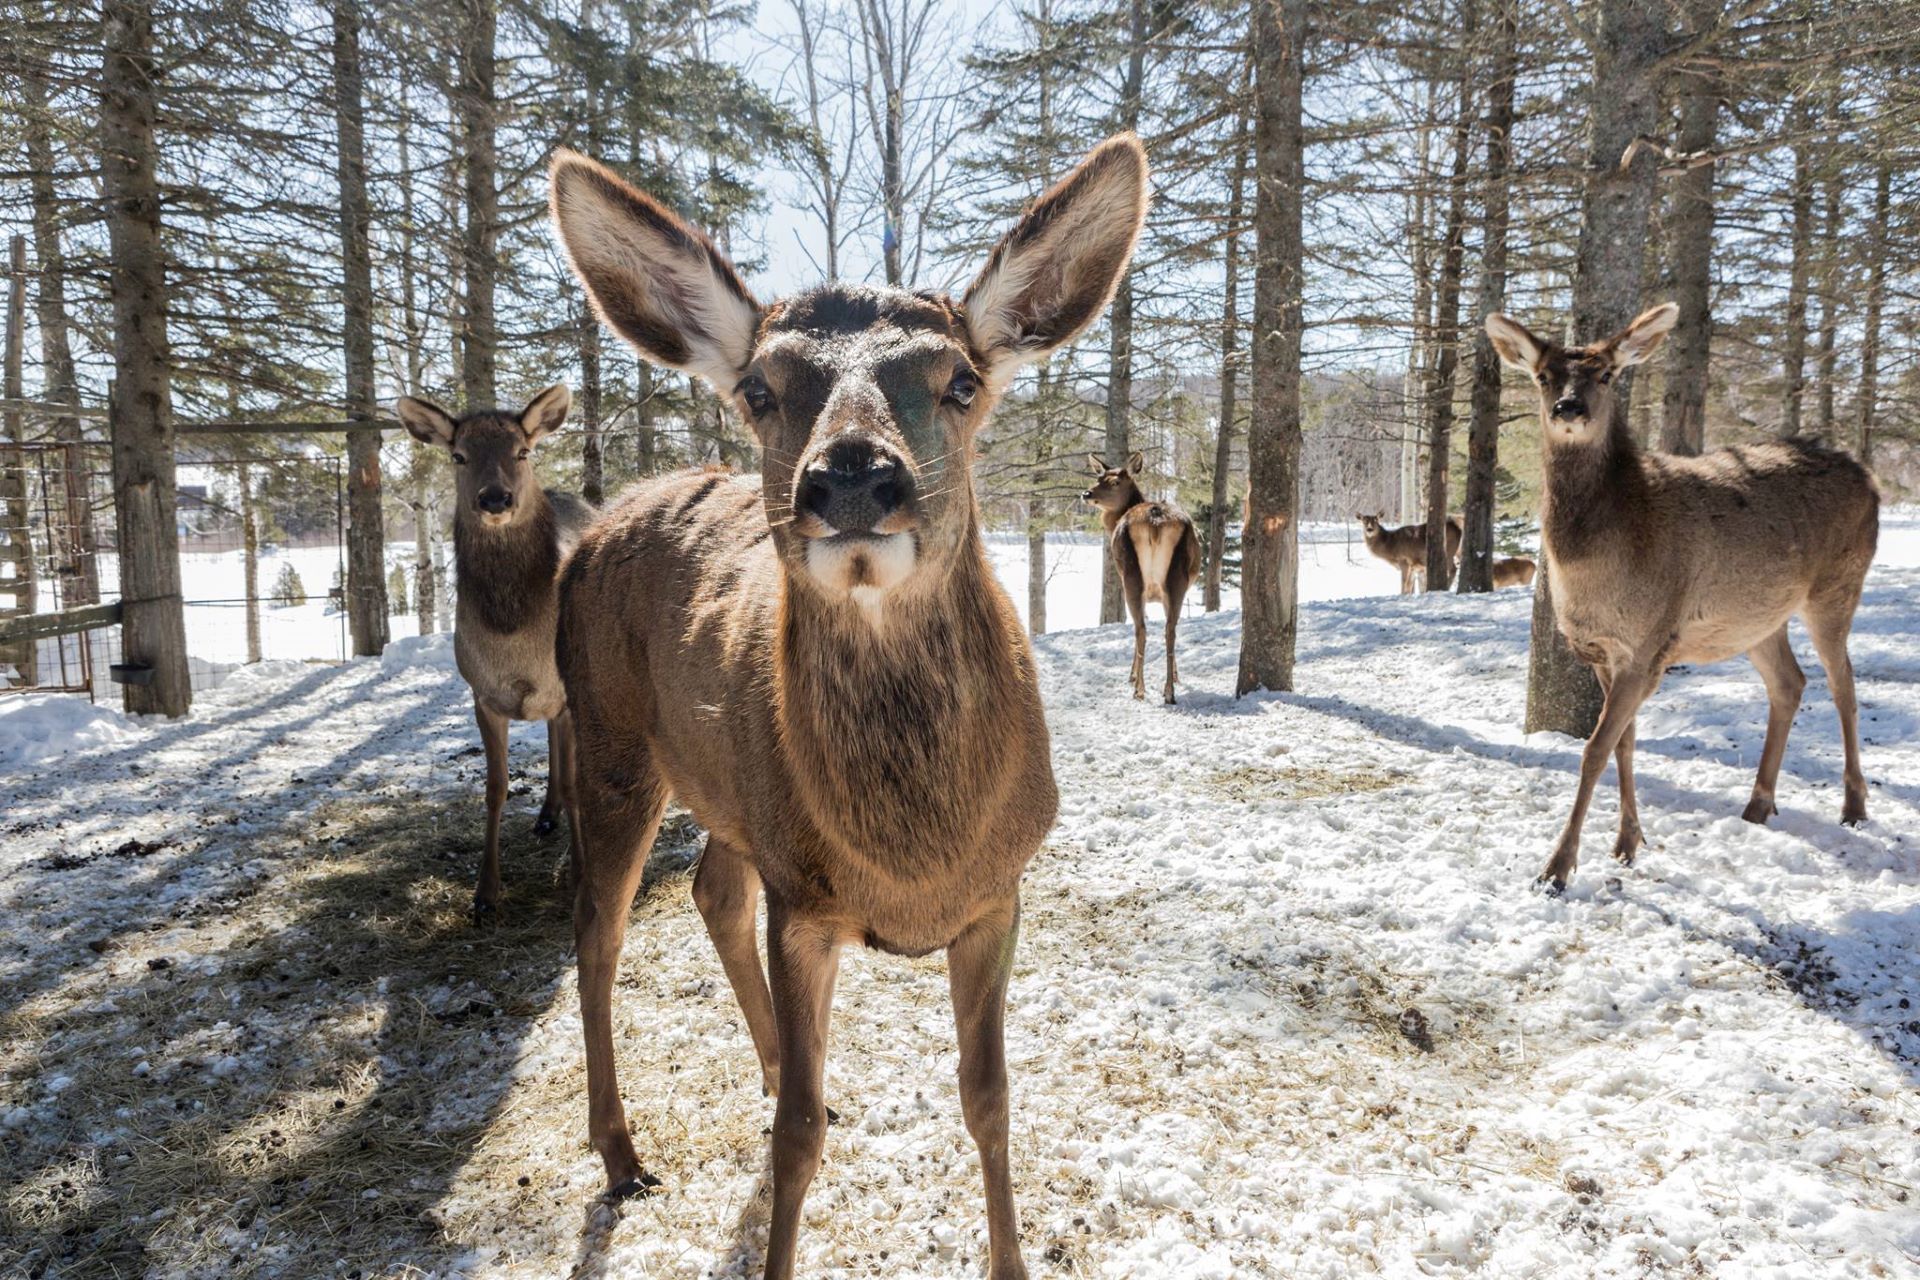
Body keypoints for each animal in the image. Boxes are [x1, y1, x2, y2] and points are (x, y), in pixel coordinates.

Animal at [391, 385, 591, 917]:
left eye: (522, 451)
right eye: (458, 456)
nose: (495, 497)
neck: (514, 638)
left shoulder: (566, 692)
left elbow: (574, 782)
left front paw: (580, 879)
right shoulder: (482, 693)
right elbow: (495, 788)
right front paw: (484, 893)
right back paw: (545, 816)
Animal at [549, 127, 1144, 1274]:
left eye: (960, 379)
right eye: (760, 388)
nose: (856, 475)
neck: (912, 855)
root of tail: (595, 523)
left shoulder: (999, 888)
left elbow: (991, 1101)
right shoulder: (807, 901)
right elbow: (790, 1148)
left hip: (732, 791)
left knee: (711, 894)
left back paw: (784, 1078)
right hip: (607, 738)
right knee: (597, 931)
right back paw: (619, 1150)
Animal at [1082, 450, 1198, 706]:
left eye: (1115, 482)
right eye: (1098, 477)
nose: (1086, 493)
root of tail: (1155, 520)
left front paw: (1132, 675)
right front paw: (1176, 676)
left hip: (1132, 577)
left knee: (1140, 629)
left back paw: (1139, 689)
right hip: (1176, 581)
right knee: (1170, 629)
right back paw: (1169, 691)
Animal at [1482, 305, 1873, 898]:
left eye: (1606, 374)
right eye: (1544, 375)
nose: (1568, 408)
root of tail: (1873, 480)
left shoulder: (1648, 643)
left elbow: (1594, 749)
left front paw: (1556, 869)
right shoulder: (1603, 652)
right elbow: (1624, 743)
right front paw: (1628, 843)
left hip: (1837, 586)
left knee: (1843, 683)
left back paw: (1853, 806)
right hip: (1758, 620)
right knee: (1790, 682)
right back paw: (1758, 805)